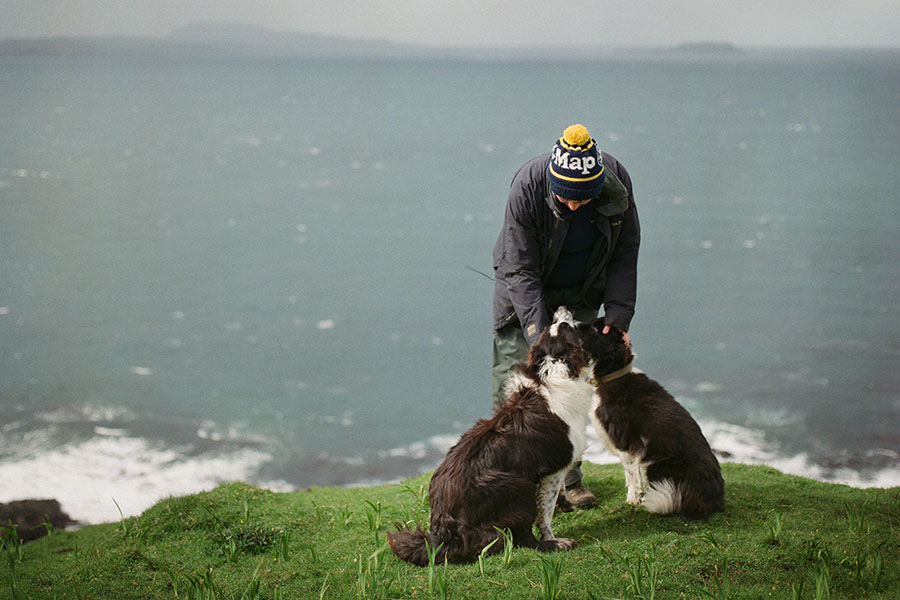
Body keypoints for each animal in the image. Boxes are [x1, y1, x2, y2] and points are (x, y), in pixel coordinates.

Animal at [384, 308, 592, 564]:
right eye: (564, 325)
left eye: (554, 324)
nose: (561, 309)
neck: (555, 370)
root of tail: (442, 536)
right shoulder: (553, 470)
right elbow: (545, 512)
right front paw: (551, 536)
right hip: (516, 485)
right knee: (523, 538)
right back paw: (556, 545)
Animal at [576, 318, 724, 520]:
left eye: (595, 329)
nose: (572, 324)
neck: (614, 375)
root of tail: (713, 501)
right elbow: (630, 474)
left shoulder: (627, 443)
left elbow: (632, 475)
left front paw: (632, 501)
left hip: (659, 463)